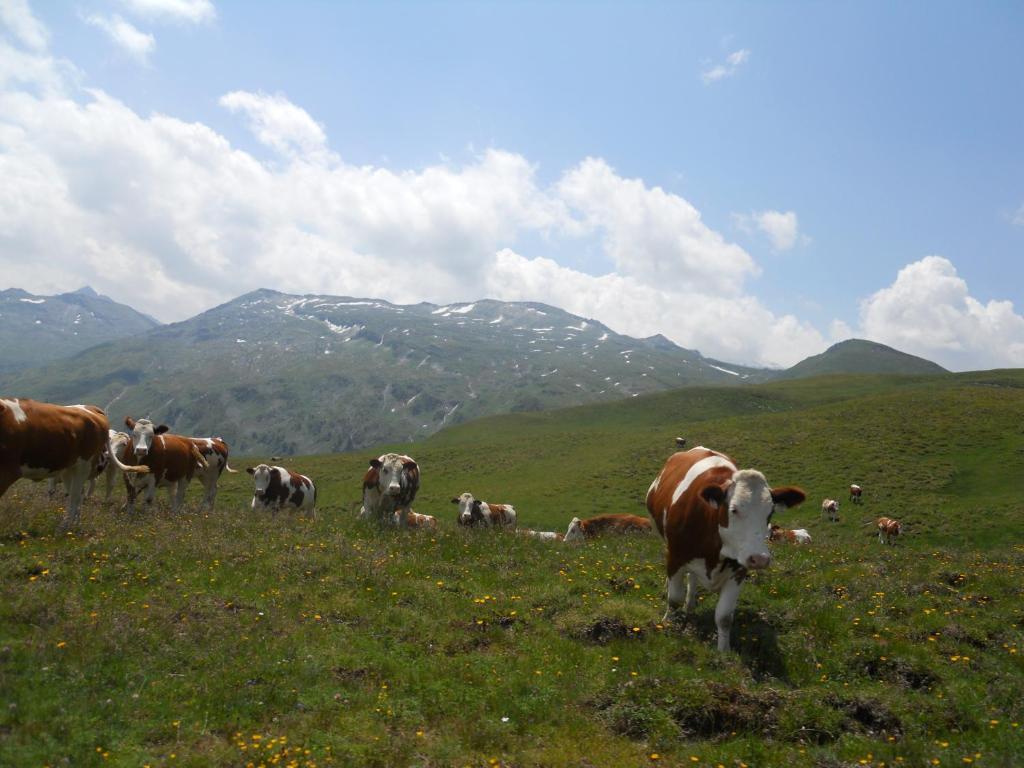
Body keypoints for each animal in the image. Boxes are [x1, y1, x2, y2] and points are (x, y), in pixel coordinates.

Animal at [0, 399, 149, 532]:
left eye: (124, 444)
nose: (107, 453)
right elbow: (52, 492)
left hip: (101, 466)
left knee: (105, 486)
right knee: (85, 488)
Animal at [643, 448, 802, 651]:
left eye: (770, 512)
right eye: (733, 509)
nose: (759, 558)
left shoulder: (739, 568)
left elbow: (724, 617)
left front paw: (724, 651)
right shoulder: (675, 557)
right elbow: (674, 599)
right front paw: (668, 625)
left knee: (692, 577)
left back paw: (690, 604)